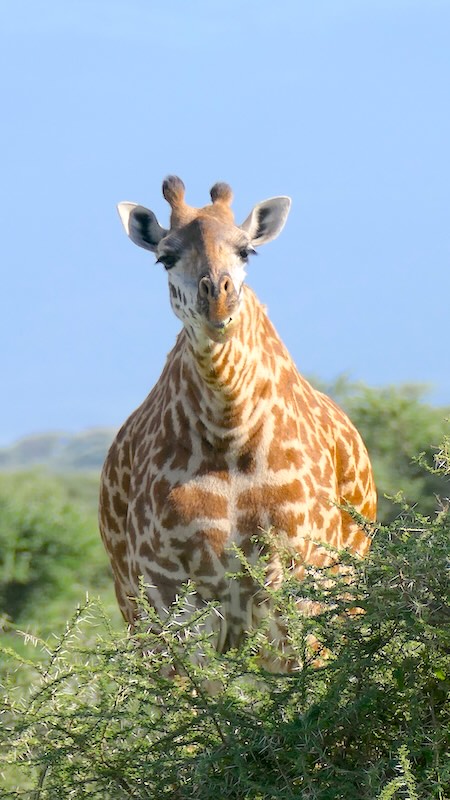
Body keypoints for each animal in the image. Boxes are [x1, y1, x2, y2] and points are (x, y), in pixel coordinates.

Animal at [99, 176, 376, 669]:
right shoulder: (166, 588)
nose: (218, 299)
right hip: (135, 607)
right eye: (165, 257)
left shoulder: (294, 576)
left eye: (246, 250)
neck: (229, 431)